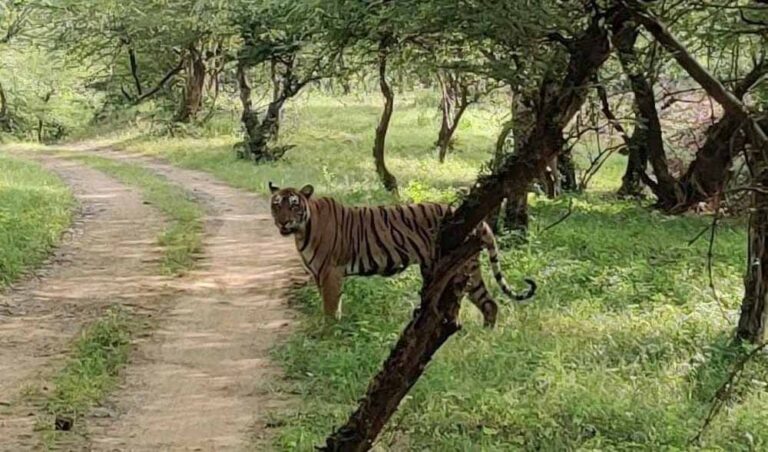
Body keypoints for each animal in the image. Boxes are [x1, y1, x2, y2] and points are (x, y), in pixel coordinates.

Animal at [268, 182, 536, 327]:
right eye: (276, 204)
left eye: (294, 205)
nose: (282, 222)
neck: (301, 230)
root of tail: (480, 221)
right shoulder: (321, 275)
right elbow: (335, 305)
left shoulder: (330, 273)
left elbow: (330, 308)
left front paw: (328, 334)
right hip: (462, 268)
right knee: (488, 303)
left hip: (461, 266)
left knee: (480, 302)